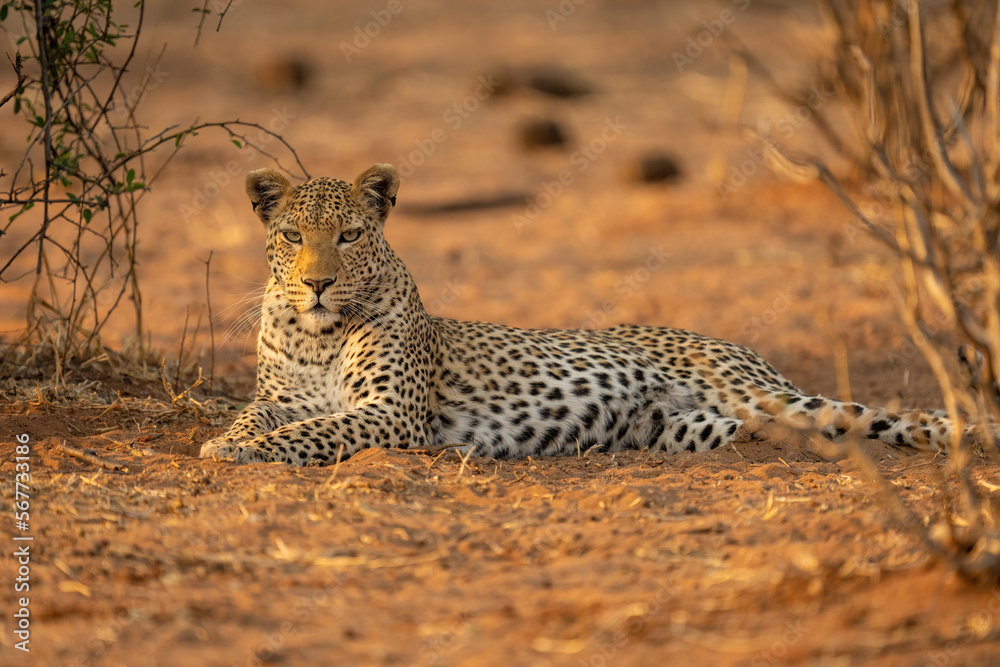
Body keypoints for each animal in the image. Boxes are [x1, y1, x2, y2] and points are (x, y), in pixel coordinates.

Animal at [200, 163, 969, 466]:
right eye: (292, 235)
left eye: (351, 235)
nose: (317, 283)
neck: (317, 336)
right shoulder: (279, 395)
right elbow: (257, 417)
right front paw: (222, 442)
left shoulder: (391, 413)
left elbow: (315, 432)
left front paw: (238, 453)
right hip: (693, 426)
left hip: (758, 389)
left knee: (877, 413)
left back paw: (960, 431)